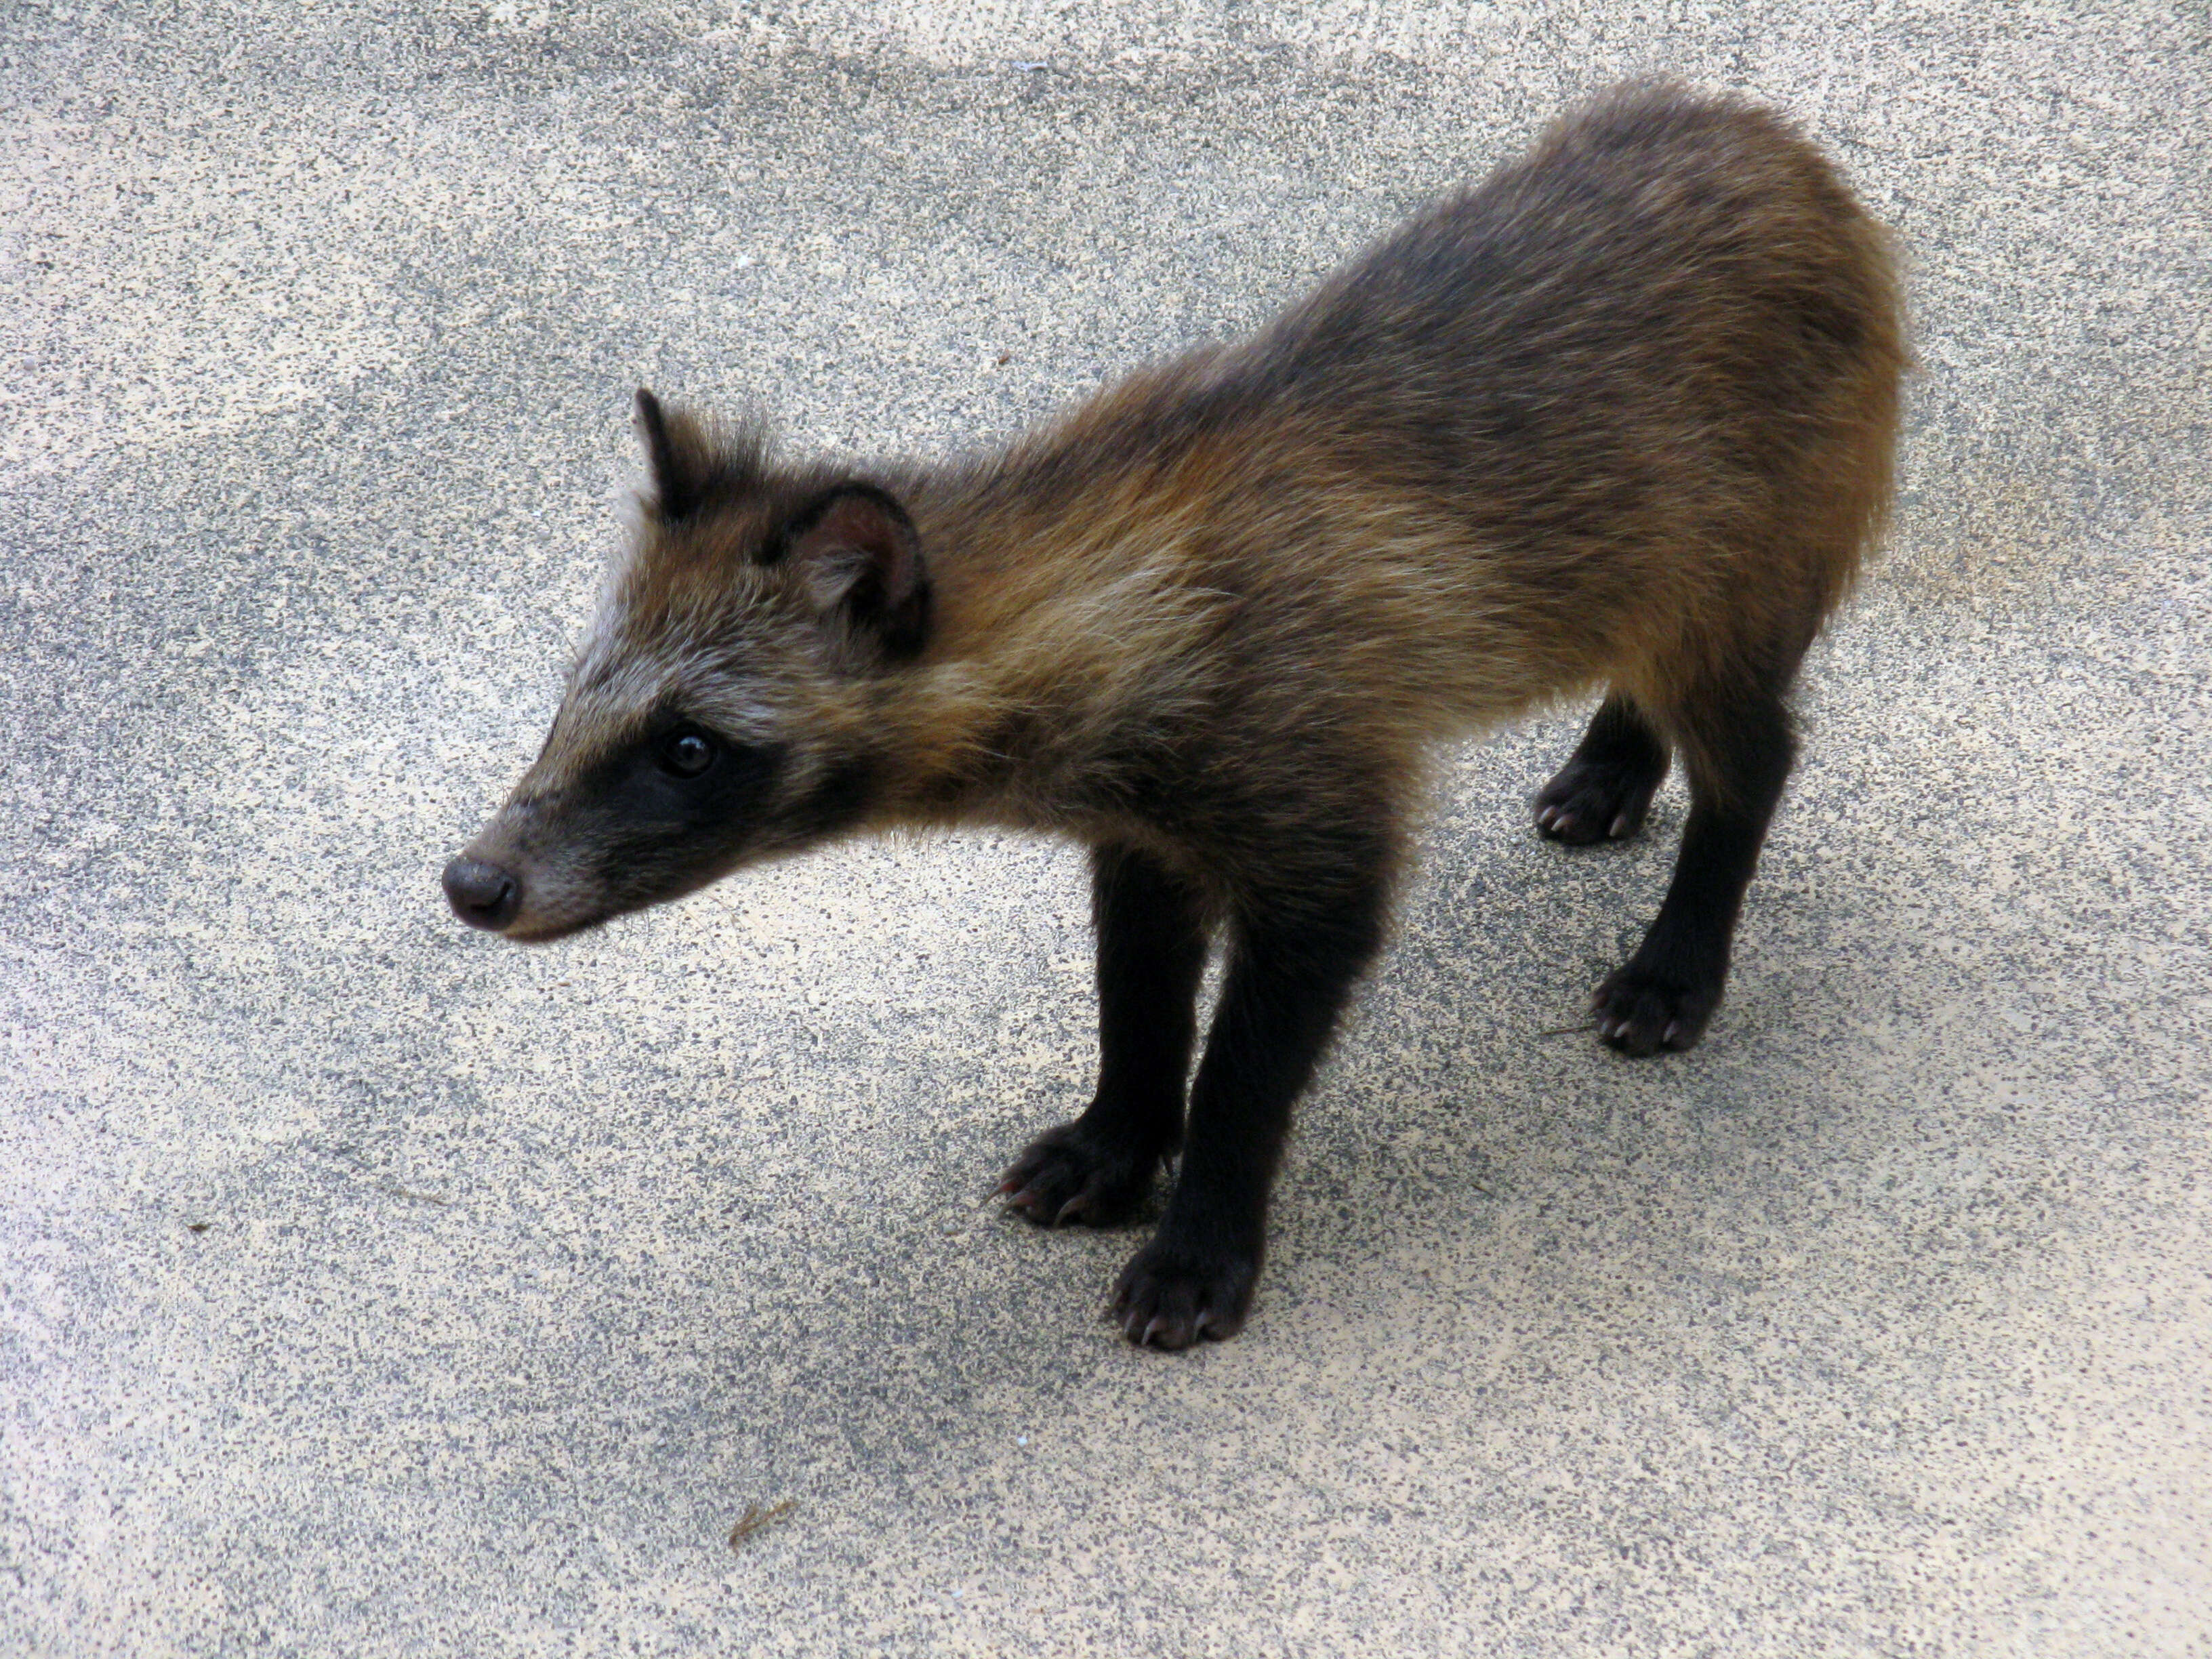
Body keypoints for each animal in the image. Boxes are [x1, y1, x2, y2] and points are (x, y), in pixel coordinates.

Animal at [440, 84, 1893, 1353]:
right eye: (571, 692)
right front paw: (1115, 1140)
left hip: (1742, 565)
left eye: (687, 745)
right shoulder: (1142, 832)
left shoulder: (1316, 821)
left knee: (1755, 756)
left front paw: (1198, 1242)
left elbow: (1241, 1073)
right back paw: (1606, 761)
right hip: (1645, 572)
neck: (1137, 569)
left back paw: (1676, 957)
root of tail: (1783, 155)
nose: (470, 881)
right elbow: (1133, 1002)